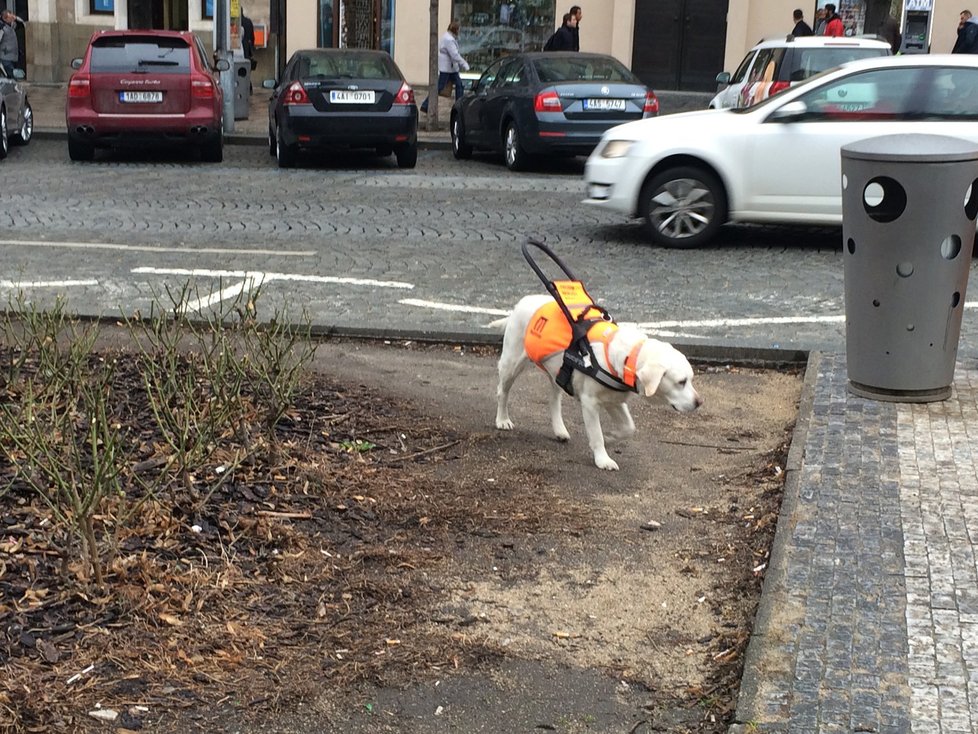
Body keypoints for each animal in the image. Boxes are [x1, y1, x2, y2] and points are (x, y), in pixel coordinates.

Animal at [488, 294, 700, 472]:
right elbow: (596, 434)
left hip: (557, 372)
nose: (699, 402)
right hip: (512, 363)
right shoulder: (590, 403)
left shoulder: (614, 400)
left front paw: (611, 438)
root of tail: (521, 302)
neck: (625, 358)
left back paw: (559, 430)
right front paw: (603, 459)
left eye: (691, 379)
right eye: (681, 382)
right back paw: (502, 419)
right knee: (501, 391)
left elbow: (628, 428)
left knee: (554, 399)